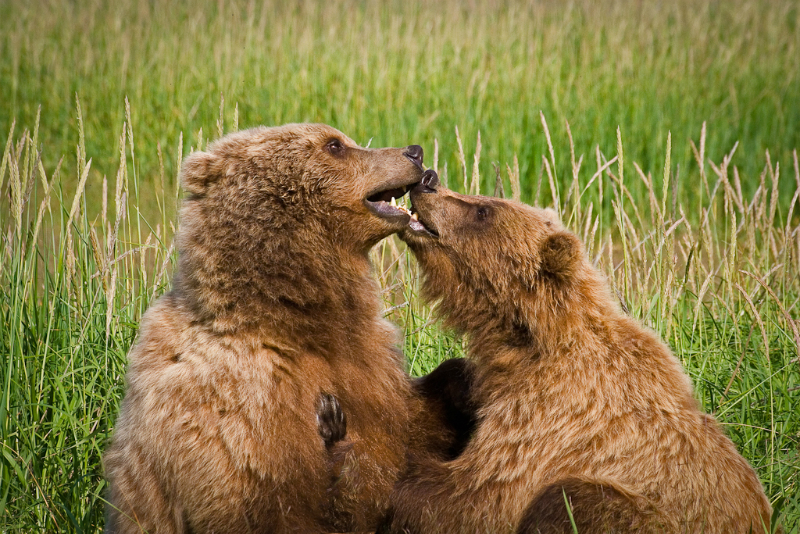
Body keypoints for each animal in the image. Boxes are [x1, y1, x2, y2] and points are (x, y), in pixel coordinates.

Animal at [103, 124, 471, 534]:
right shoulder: (244, 408)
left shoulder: (374, 367)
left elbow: (411, 432)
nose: (414, 151)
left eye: (343, 139)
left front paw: (464, 383)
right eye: (334, 145)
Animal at [378, 170, 773, 533]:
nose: (429, 180)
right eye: (481, 199)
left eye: (483, 210)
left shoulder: (552, 411)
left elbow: (476, 496)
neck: (528, 339)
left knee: (570, 498)